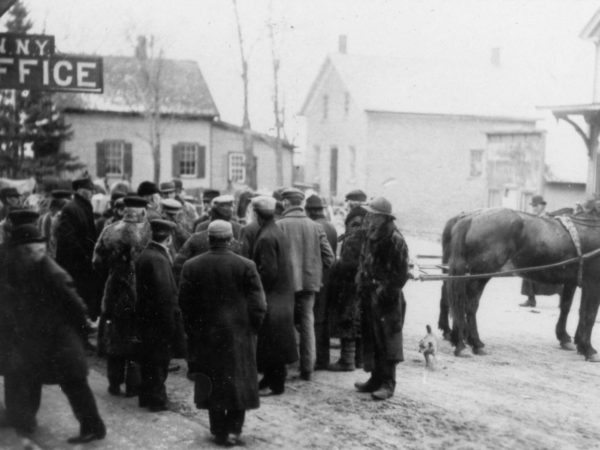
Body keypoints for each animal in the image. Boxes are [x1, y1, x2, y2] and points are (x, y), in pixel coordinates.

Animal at [442, 207, 600, 362]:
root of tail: (471, 218)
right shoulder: (593, 283)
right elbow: (589, 315)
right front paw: (588, 349)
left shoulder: (573, 281)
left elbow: (570, 308)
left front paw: (572, 341)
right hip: (481, 274)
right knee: (469, 305)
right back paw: (472, 343)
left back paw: (460, 340)